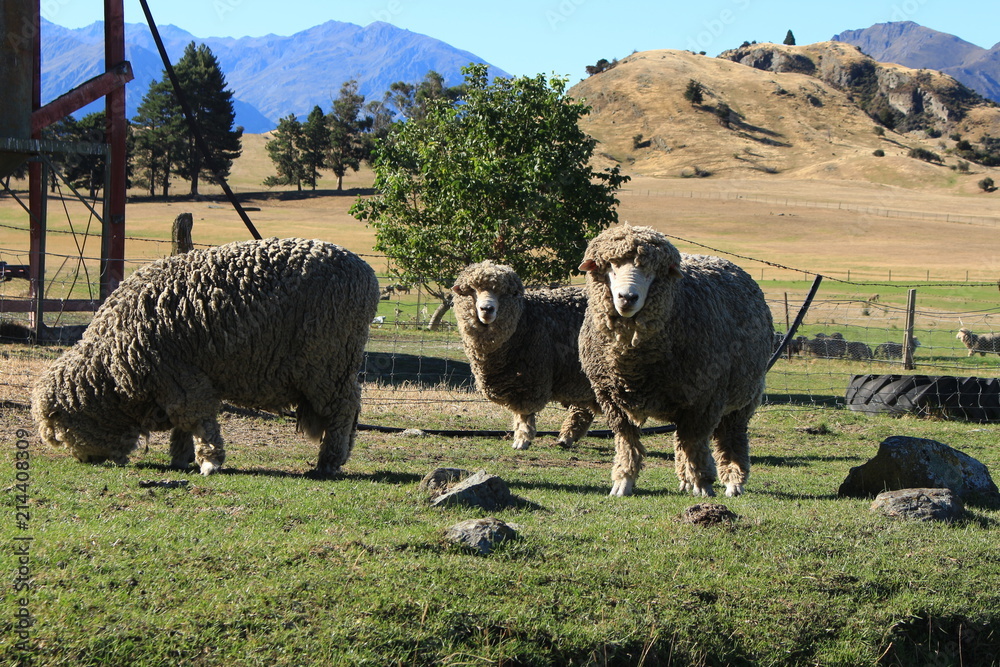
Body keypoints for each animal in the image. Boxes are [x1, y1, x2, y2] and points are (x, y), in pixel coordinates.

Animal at [31, 237, 380, 476]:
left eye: (61, 432)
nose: (87, 461)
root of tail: (367, 275)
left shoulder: (179, 375)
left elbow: (197, 419)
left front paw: (209, 460)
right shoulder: (176, 380)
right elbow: (182, 424)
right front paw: (180, 456)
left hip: (327, 363)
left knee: (343, 409)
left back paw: (329, 461)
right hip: (335, 365)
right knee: (352, 408)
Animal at [452, 261, 599, 450]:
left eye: (505, 293)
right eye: (472, 290)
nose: (487, 309)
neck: (523, 319)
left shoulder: (529, 380)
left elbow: (524, 413)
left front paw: (522, 439)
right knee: (584, 409)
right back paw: (566, 437)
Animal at [577, 225, 773, 497]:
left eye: (651, 271)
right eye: (611, 266)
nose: (627, 297)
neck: (634, 367)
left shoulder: (704, 400)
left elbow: (695, 443)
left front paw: (703, 485)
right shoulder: (612, 400)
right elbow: (627, 442)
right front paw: (623, 482)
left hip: (744, 397)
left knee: (729, 438)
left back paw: (733, 482)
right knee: (681, 441)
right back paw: (685, 481)